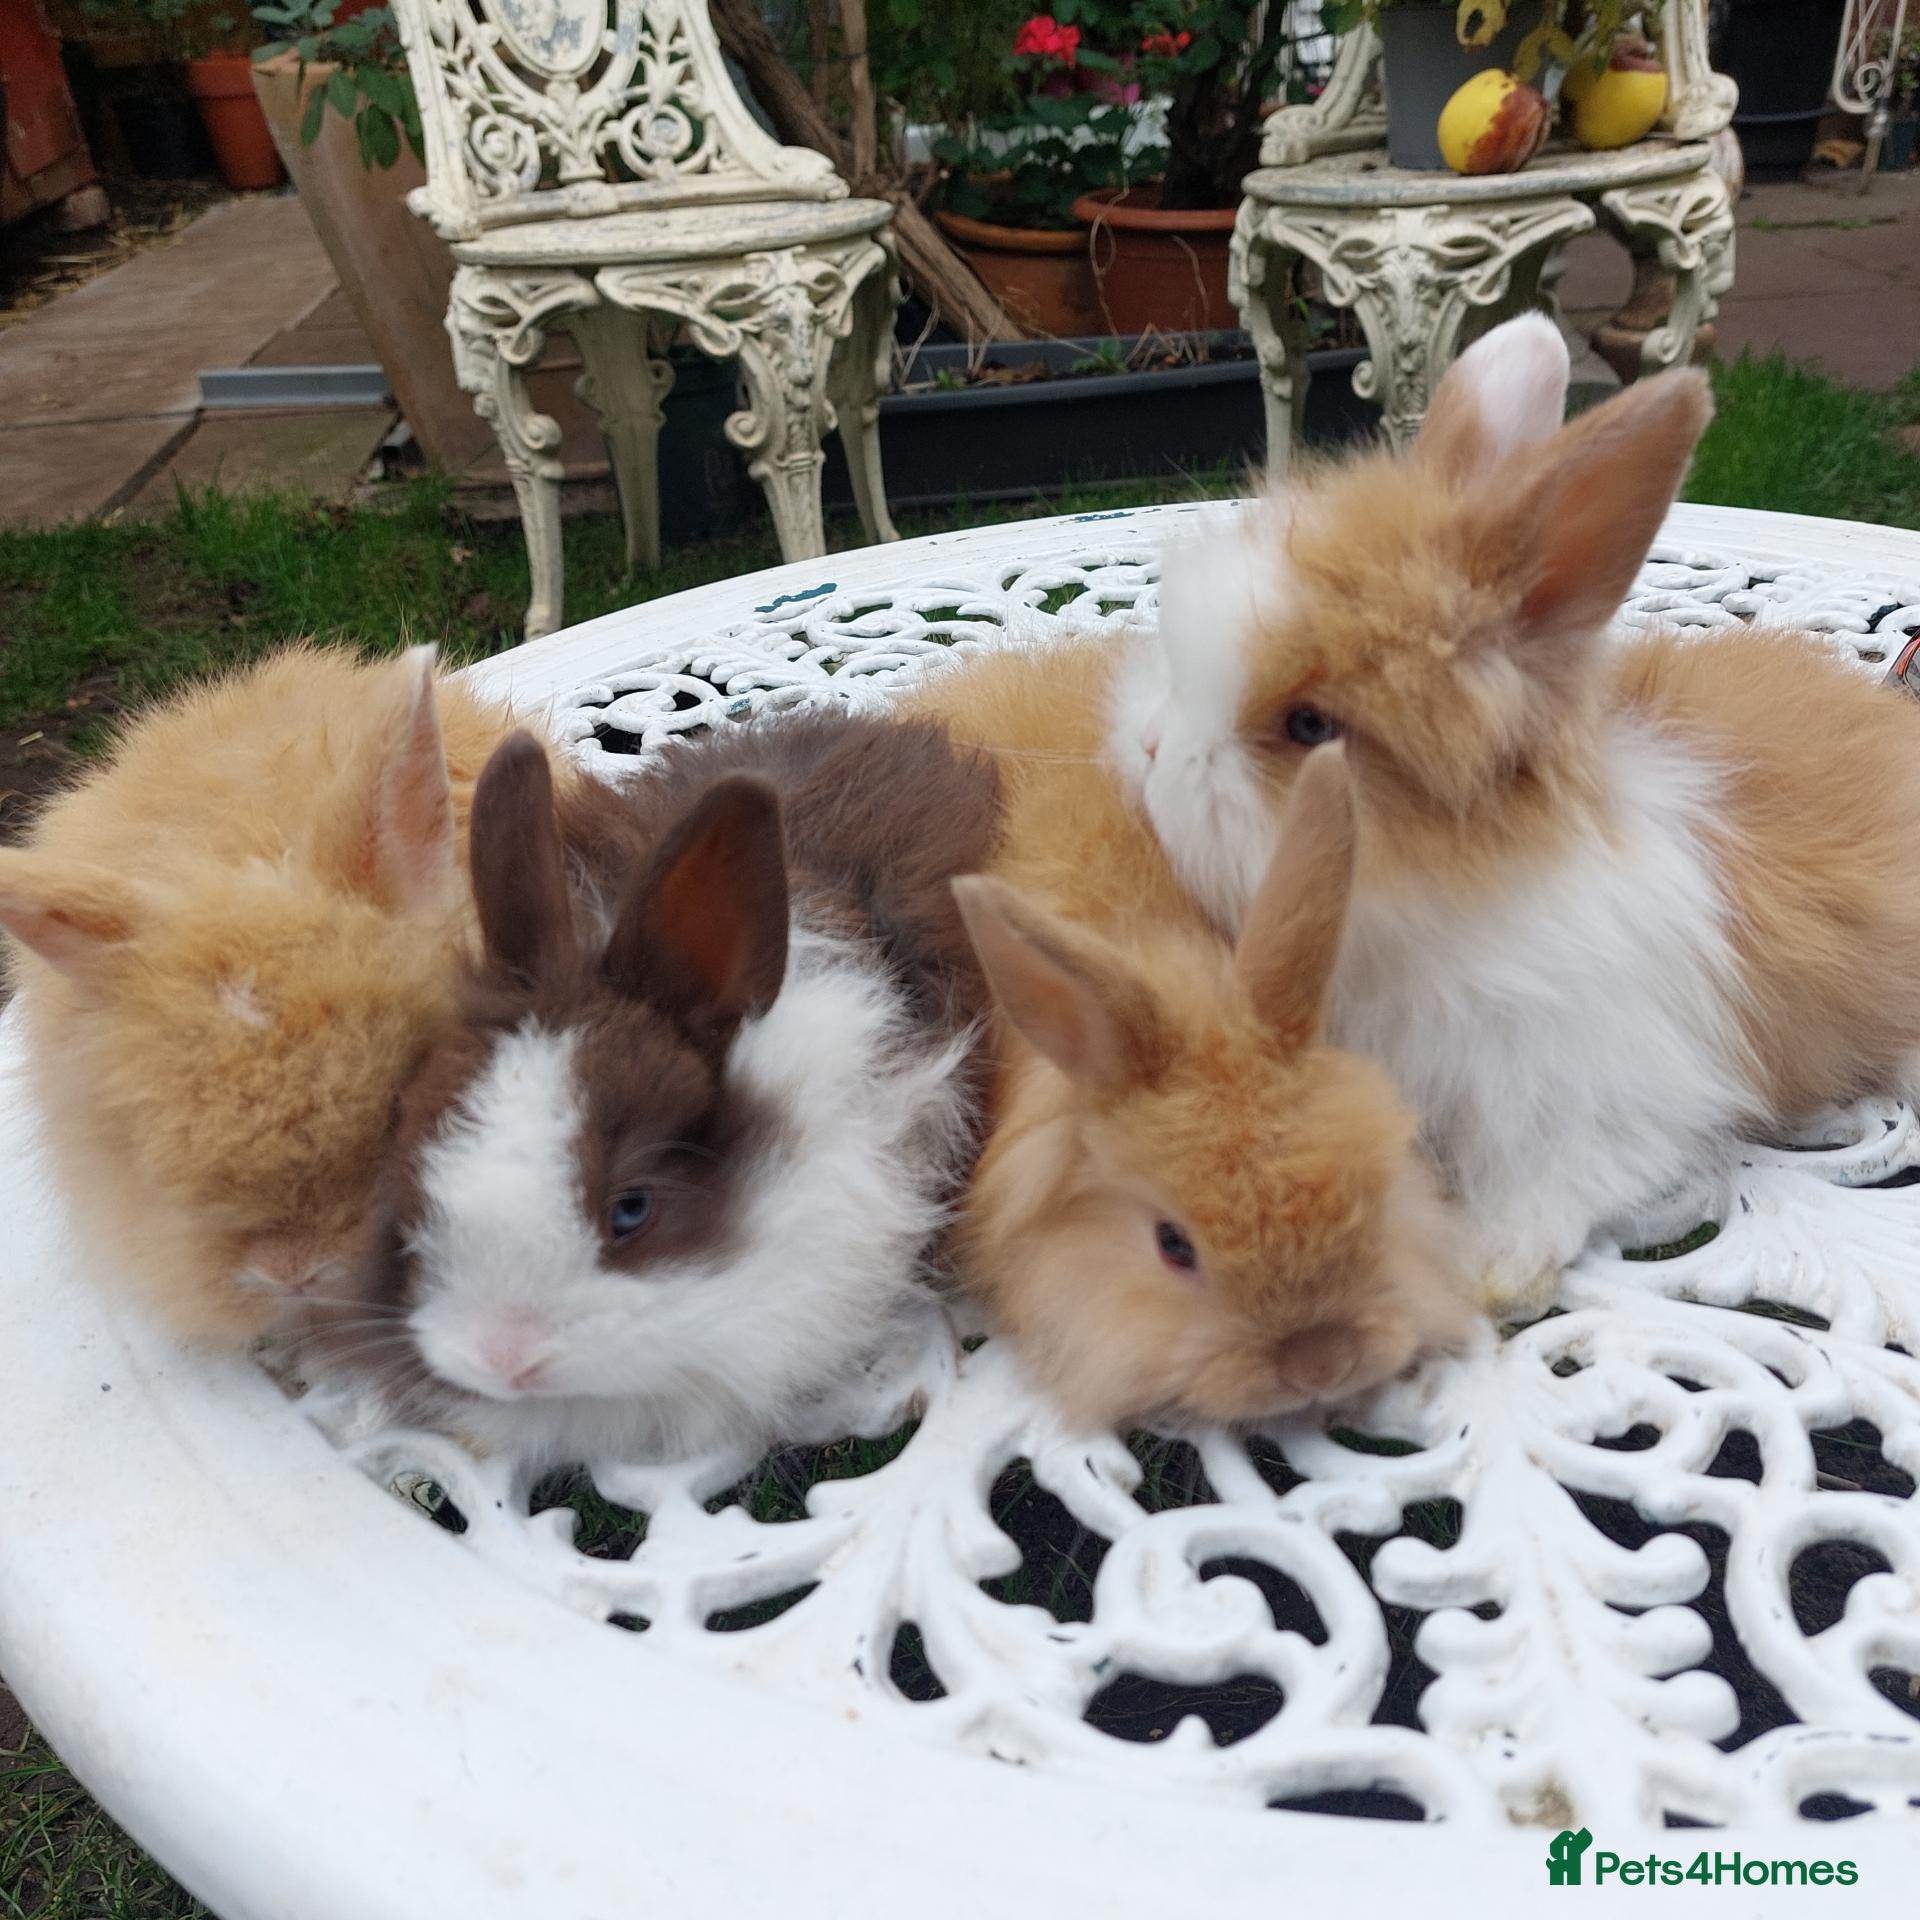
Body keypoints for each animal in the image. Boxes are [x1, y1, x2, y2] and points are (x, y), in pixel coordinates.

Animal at [1109, 309, 1920, 1307]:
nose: (1149, 750)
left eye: (1309, 725)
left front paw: (1491, 1267)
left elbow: (1561, 1178)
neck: (1453, 900)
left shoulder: (1598, 1093)